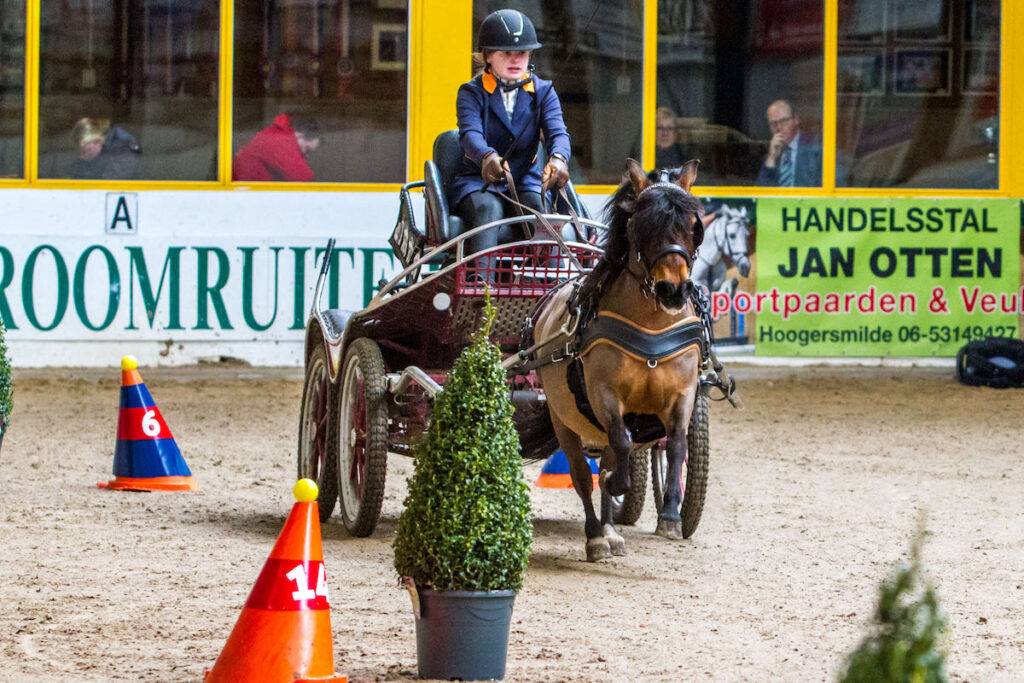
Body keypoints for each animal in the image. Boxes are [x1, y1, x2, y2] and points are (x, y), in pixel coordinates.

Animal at [522, 159, 707, 562]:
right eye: (643, 225)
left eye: (693, 225)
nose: (673, 290)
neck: (652, 325)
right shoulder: (605, 395)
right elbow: (621, 446)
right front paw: (617, 483)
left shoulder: (683, 395)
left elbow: (677, 444)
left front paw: (671, 515)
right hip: (563, 418)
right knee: (581, 475)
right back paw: (595, 535)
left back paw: (610, 530)